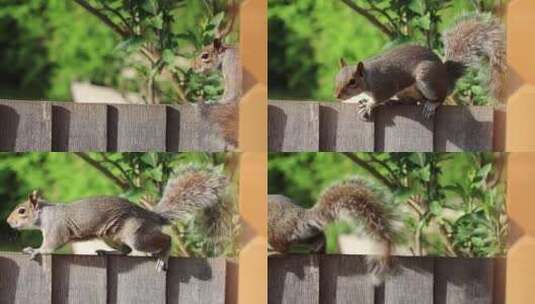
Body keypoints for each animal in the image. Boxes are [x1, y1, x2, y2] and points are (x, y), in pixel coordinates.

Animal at [5, 165, 230, 272]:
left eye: (22, 211)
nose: (8, 222)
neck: (45, 215)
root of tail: (151, 215)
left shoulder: (56, 229)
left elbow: (50, 246)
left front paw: (35, 250)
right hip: (110, 235)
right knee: (126, 251)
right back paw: (107, 252)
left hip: (136, 233)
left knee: (162, 240)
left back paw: (163, 255)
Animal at [192, 3, 242, 150]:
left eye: (205, 56)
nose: (192, 67)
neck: (225, 54)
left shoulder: (231, 66)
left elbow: (228, 93)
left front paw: (214, 101)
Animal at [270, 177, 400, 284]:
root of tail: (300, 217)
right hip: (303, 235)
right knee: (317, 237)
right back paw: (317, 249)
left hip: (276, 232)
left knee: (283, 250)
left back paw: (272, 252)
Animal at [336, 13, 506, 120]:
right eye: (335, 79)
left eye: (352, 81)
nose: (337, 96)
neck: (369, 77)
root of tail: (446, 79)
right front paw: (366, 101)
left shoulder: (385, 85)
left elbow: (379, 97)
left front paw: (369, 105)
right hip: (407, 92)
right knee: (410, 102)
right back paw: (395, 102)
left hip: (426, 78)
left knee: (440, 97)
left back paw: (432, 104)